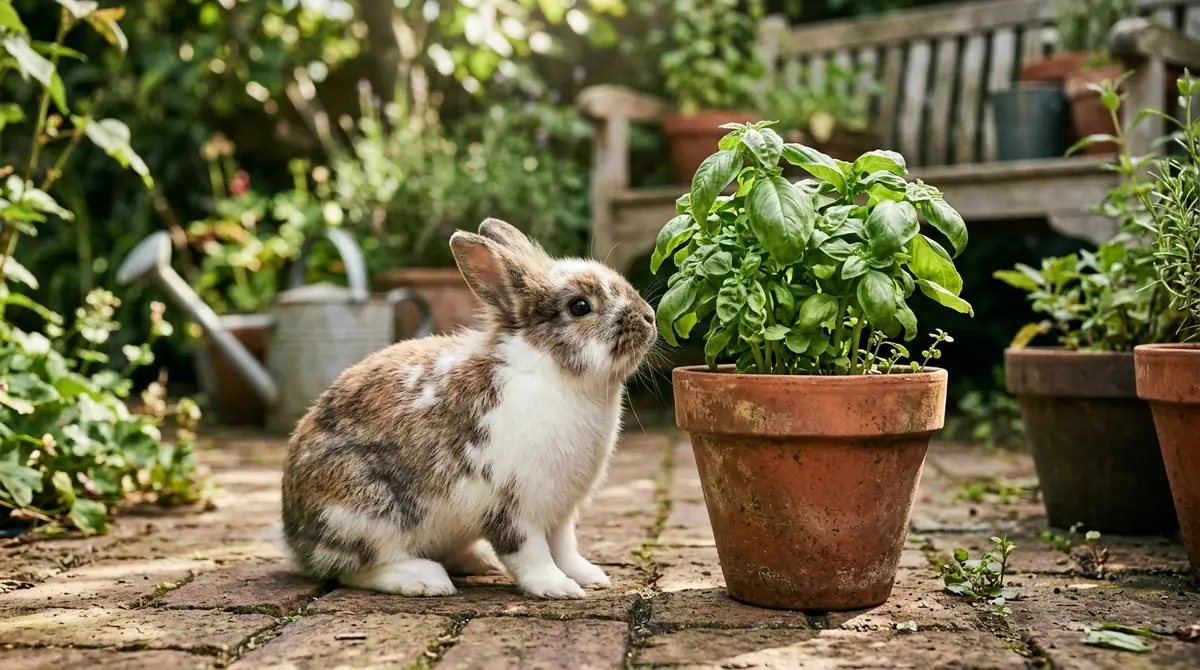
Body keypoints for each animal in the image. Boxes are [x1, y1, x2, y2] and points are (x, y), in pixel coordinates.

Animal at [280, 218, 657, 599]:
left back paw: (478, 562)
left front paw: (590, 576)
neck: (552, 373)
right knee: (353, 568)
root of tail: (296, 539)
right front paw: (558, 588)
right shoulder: (514, 507)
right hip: (364, 509)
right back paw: (425, 580)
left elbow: (566, 549)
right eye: (579, 307)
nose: (649, 317)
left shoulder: (561, 512)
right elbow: (531, 555)